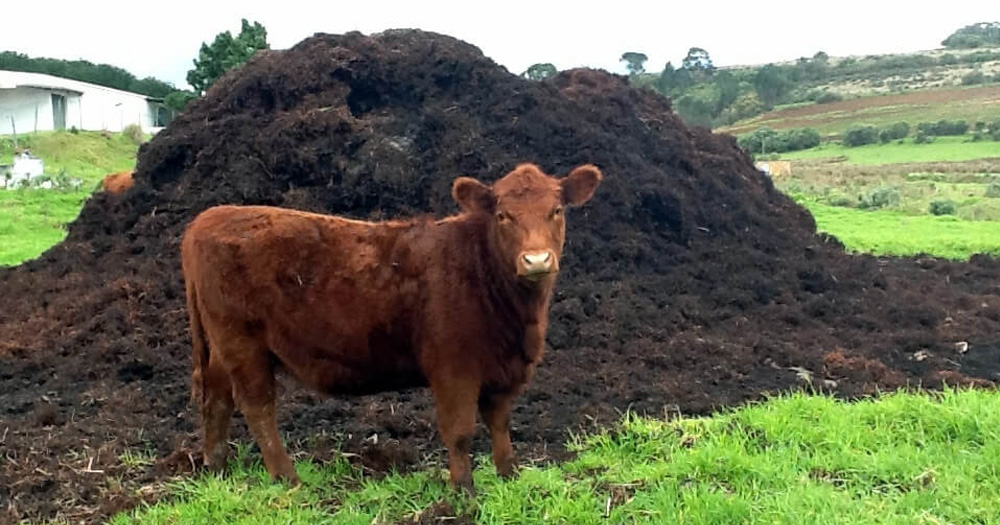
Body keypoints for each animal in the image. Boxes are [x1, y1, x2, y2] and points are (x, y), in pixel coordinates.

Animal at [179, 162, 600, 494]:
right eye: (503, 216)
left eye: (556, 210)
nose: (536, 260)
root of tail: (208, 217)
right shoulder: (454, 367)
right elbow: (460, 429)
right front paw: (463, 490)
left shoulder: (503, 369)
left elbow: (500, 422)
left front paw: (509, 476)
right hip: (242, 342)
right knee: (257, 405)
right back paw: (288, 479)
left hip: (222, 346)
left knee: (217, 398)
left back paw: (216, 469)